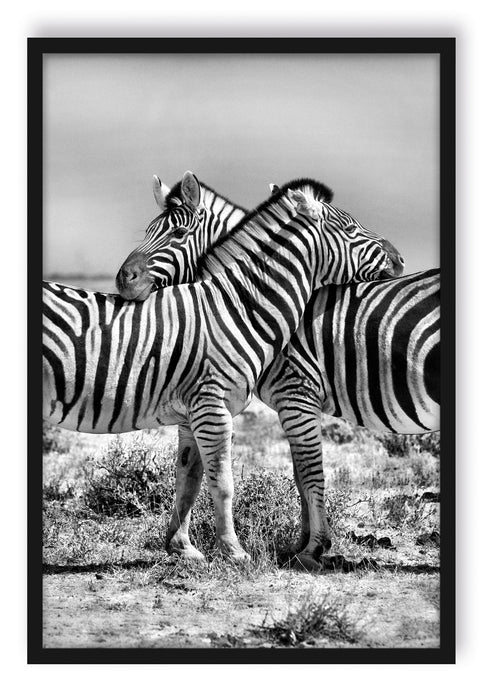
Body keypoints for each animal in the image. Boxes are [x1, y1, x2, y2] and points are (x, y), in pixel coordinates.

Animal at [44, 176, 400, 565]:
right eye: (351, 229)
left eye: (178, 233)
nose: (398, 258)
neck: (236, 307)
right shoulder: (219, 406)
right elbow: (226, 481)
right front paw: (236, 551)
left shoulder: (207, 410)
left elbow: (192, 478)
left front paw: (185, 548)